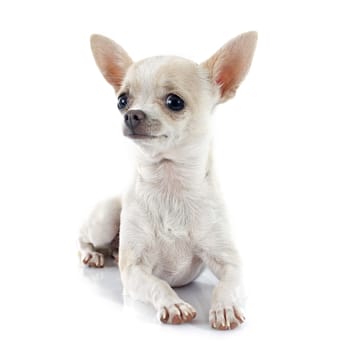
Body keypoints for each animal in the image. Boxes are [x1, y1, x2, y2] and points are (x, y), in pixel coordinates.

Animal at [78, 30, 256, 330]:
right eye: (122, 100)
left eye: (175, 101)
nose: (131, 114)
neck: (170, 184)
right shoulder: (134, 269)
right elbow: (158, 284)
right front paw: (174, 304)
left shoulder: (231, 264)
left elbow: (226, 286)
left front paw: (225, 308)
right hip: (105, 217)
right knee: (82, 237)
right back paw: (91, 253)